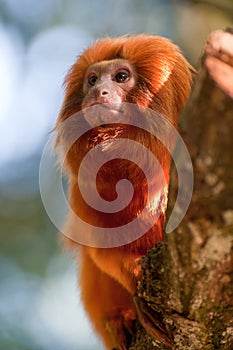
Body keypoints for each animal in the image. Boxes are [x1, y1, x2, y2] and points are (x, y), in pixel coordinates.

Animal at [55, 33, 193, 350]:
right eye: (92, 80)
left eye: (121, 77)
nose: (99, 91)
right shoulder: (84, 187)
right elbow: (102, 251)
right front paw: (137, 285)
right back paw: (120, 321)